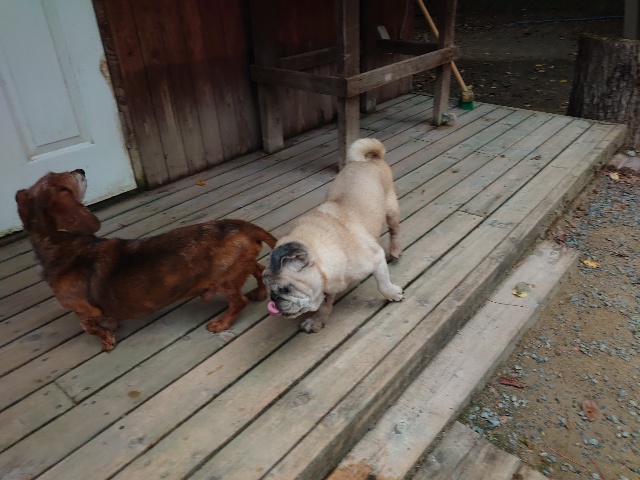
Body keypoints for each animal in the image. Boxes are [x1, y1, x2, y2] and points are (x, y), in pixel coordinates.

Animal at [15, 170, 276, 351]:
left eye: (57, 175)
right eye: (65, 178)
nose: (81, 169)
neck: (64, 245)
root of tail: (243, 226)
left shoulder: (82, 310)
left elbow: (91, 328)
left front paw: (107, 341)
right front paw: (110, 326)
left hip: (225, 278)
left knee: (239, 302)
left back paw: (221, 323)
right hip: (239, 267)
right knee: (260, 269)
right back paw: (260, 292)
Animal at [263, 138, 403, 333]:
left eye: (284, 290)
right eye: (268, 289)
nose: (273, 299)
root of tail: (369, 160)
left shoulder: (377, 259)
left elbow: (383, 283)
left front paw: (392, 293)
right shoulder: (326, 287)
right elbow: (324, 304)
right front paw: (317, 320)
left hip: (391, 210)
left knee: (395, 230)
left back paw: (396, 251)